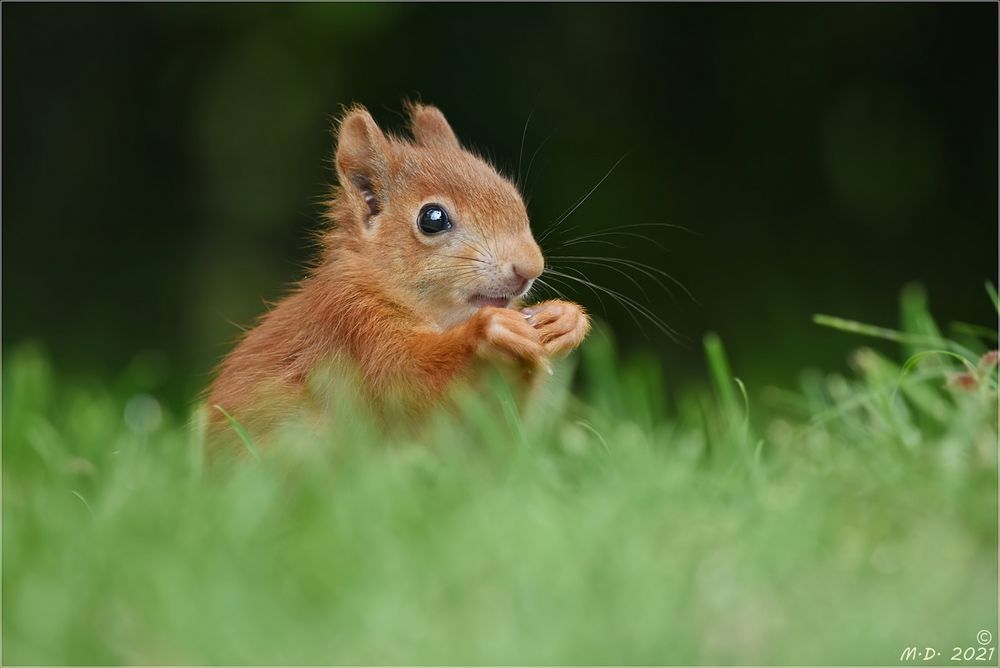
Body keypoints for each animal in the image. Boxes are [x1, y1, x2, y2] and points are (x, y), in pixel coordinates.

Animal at [207, 104, 588, 446]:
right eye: (432, 219)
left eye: (513, 197)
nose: (530, 267)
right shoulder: (353, 324)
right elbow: (405, 378)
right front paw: (489, 329)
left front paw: (565, 319)